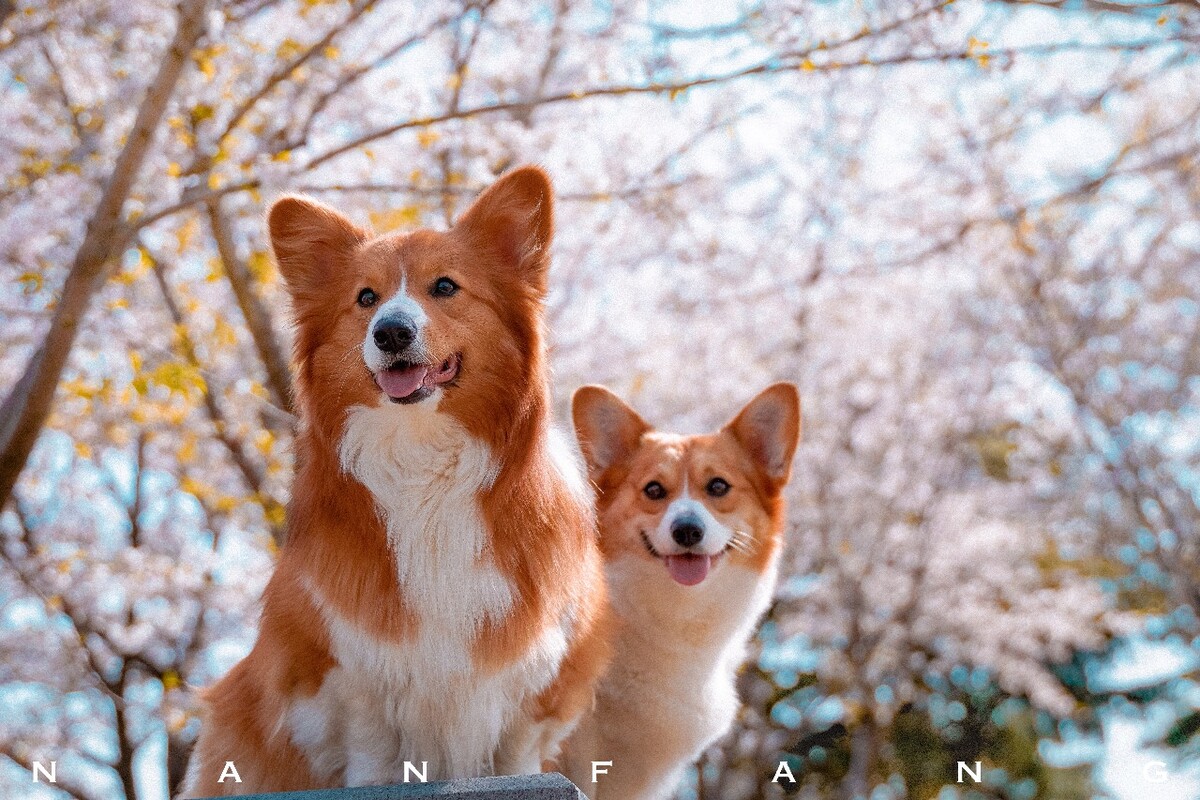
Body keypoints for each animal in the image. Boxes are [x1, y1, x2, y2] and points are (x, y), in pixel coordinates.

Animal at [182, 167, 614, 796]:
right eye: (366, 298)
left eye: (445, 287)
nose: (390, 331)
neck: (423, 461)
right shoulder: (352, 678)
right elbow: (375, 760)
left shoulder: (533, 683)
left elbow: (516, 757)